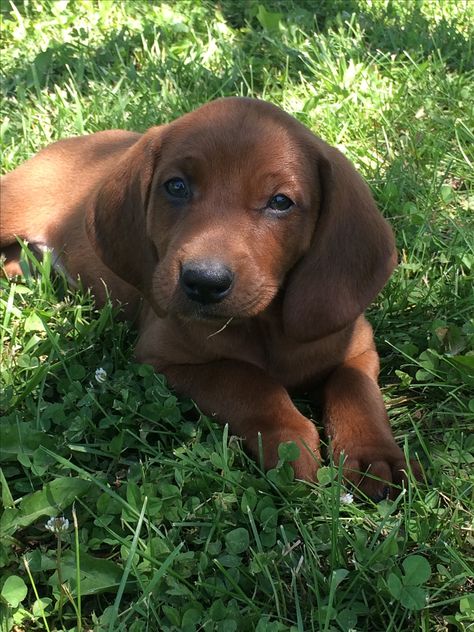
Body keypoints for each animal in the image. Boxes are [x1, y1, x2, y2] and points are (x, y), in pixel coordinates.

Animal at [0, 97, 422, 498]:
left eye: (280, 201)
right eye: (176, 186)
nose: (204, 282)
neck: (264, 326)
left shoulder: (358, 346)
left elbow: (355, 389)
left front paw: (373, 457)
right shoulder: (164, 358)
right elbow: (249, 381)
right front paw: (291, 442)